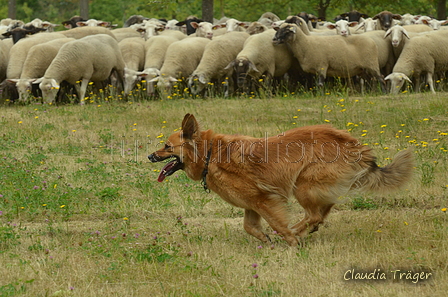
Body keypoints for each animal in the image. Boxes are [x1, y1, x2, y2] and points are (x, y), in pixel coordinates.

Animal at [149, 113, 414, 245]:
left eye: (166, 146)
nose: (150, 156)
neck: (210, 154)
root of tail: (353, 144)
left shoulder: (264, 200)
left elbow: (277, 223)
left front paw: (290, 241)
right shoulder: (252, 203)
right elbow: (249, 226)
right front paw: (265, 239)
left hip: (303, 185)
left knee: (314, 214)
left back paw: (298, 231)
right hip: (314, 187)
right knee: (322, 212)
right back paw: (305, 230)